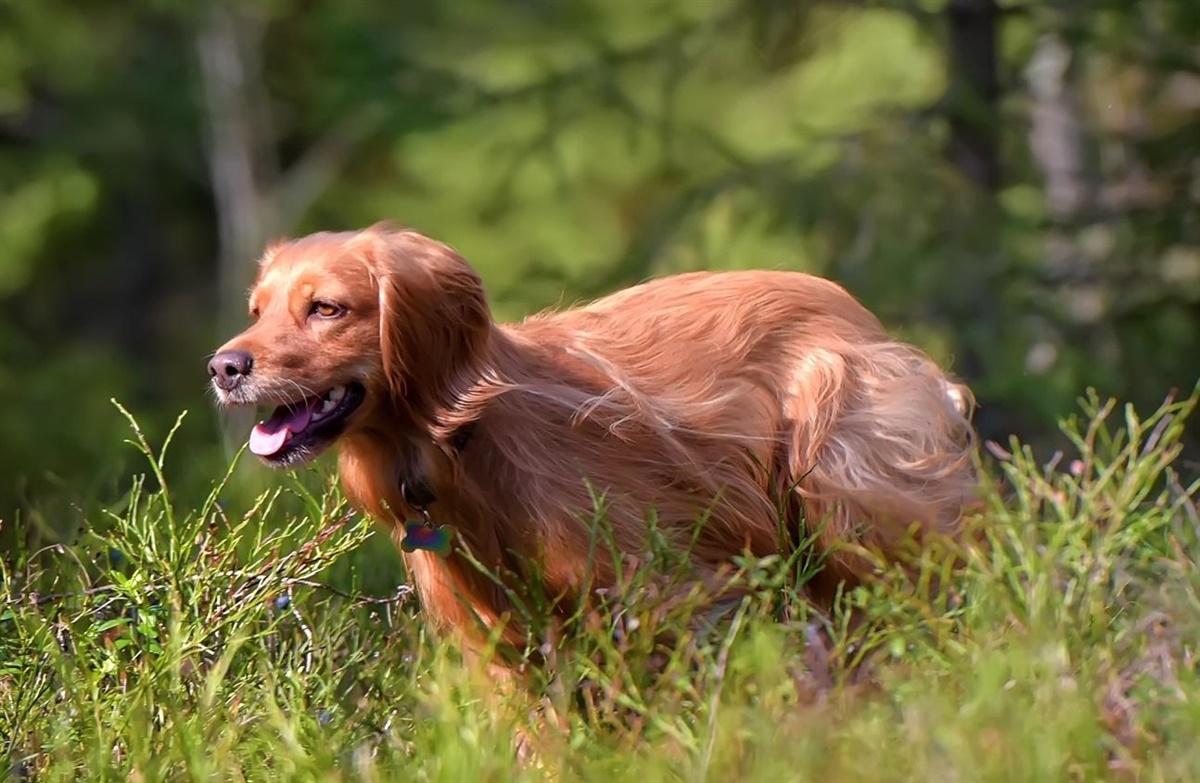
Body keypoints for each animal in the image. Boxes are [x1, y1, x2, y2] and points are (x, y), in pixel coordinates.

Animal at [204, 222, 974, 672]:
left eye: (325, 308)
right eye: (257, 310)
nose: (223, 366)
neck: (462, 444)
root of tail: (859, 315)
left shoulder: (673, 594)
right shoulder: (505, 650)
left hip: (847, 511)